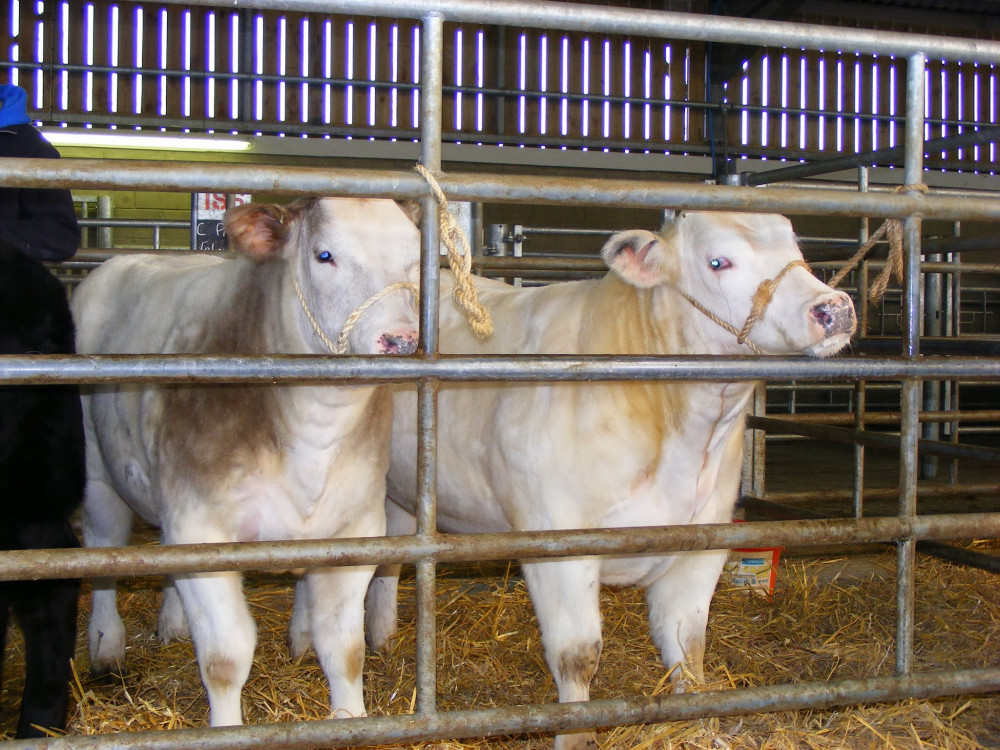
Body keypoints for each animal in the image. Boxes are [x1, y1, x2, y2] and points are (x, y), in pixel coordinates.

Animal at [72, 197, 420, 724]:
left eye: (415, 258)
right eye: (324, 255)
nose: (400, 340)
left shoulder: (356, 527)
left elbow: (345, 648)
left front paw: (351, 720)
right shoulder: (202, 528)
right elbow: (225, 657)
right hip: (97, 472)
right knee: (104, 551)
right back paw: (106, 647)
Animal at [360, 212, 852, 750]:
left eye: (797, 248)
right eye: (718, 261)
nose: (833, 307)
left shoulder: (703, 538)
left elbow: (688, 645)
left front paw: (698, 723)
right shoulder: (558, 541)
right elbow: (578, 655)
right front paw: (575, 735)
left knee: (392, 558)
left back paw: (383, 642)